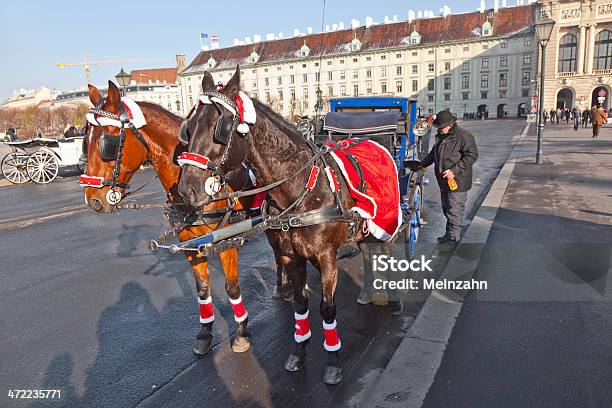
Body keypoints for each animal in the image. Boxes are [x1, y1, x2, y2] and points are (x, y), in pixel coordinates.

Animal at [80, 83, 256, 356]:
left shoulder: (226, 241)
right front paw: (205, 333)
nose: (93, 199)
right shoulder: (190, 245)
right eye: (84, 141)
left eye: (106, 142)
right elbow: (202, 290)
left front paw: (241, 331)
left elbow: (232, 286)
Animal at [175, 67, 394, 386]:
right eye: (188, 129)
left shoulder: (327, 257)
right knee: (366, 254)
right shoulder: (291, 256)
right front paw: (299, 351)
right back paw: (366, 292)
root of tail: (367, 140)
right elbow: (301, 305)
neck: (299, 188)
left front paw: (332, 360)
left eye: (222, 128)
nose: (187, 190)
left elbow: (327, 308)